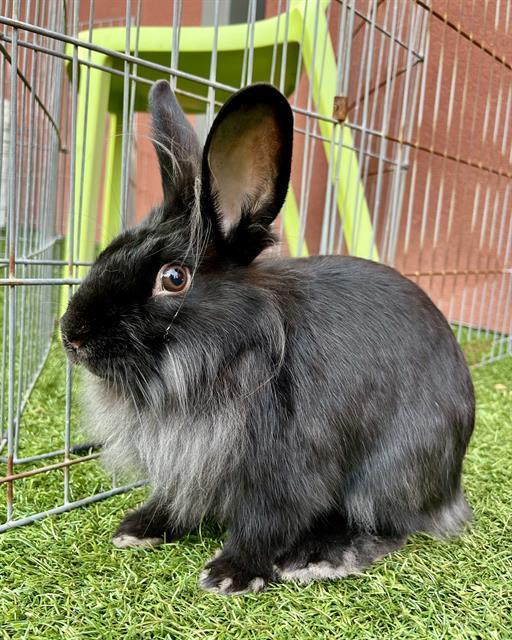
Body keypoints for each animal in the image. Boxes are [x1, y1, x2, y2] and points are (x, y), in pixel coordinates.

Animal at [60, 80, 475, 596]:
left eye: (174, 278)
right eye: (110, 250)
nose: (71, 336)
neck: (223, 357)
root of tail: (452, 486)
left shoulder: (287, 472)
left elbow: (266, 522)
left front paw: (230, 573)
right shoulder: (190, 466)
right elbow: (177, 497)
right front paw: (139, 528)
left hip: (391, 470)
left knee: (386, 526)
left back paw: (315, 557)